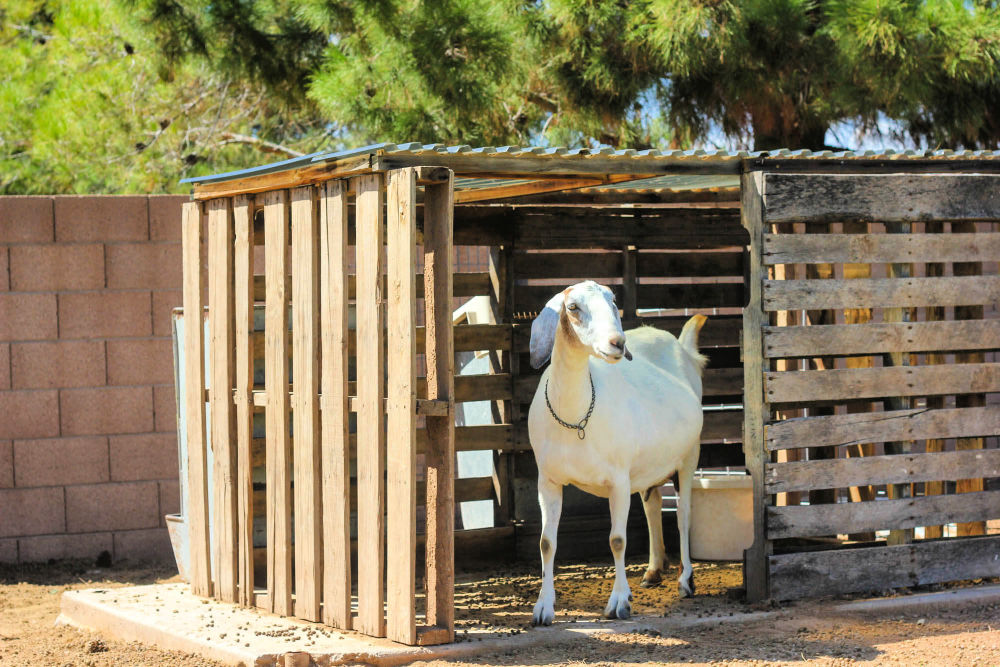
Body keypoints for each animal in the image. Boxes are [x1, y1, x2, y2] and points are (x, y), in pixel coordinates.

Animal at [528, 280, 708, 624]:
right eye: (573, 307)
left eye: (613, 300)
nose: (617, 343)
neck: (576, 417)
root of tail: (682, 348)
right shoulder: (548, 480)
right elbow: (546, 542)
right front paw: (543, 608)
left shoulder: (619, 480)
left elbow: (617, 539)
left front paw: (619, 602)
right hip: (650, 463)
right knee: (653, 505)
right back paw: (653, 571)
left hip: (689, 455)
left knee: (684, 515)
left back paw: (685, 581)